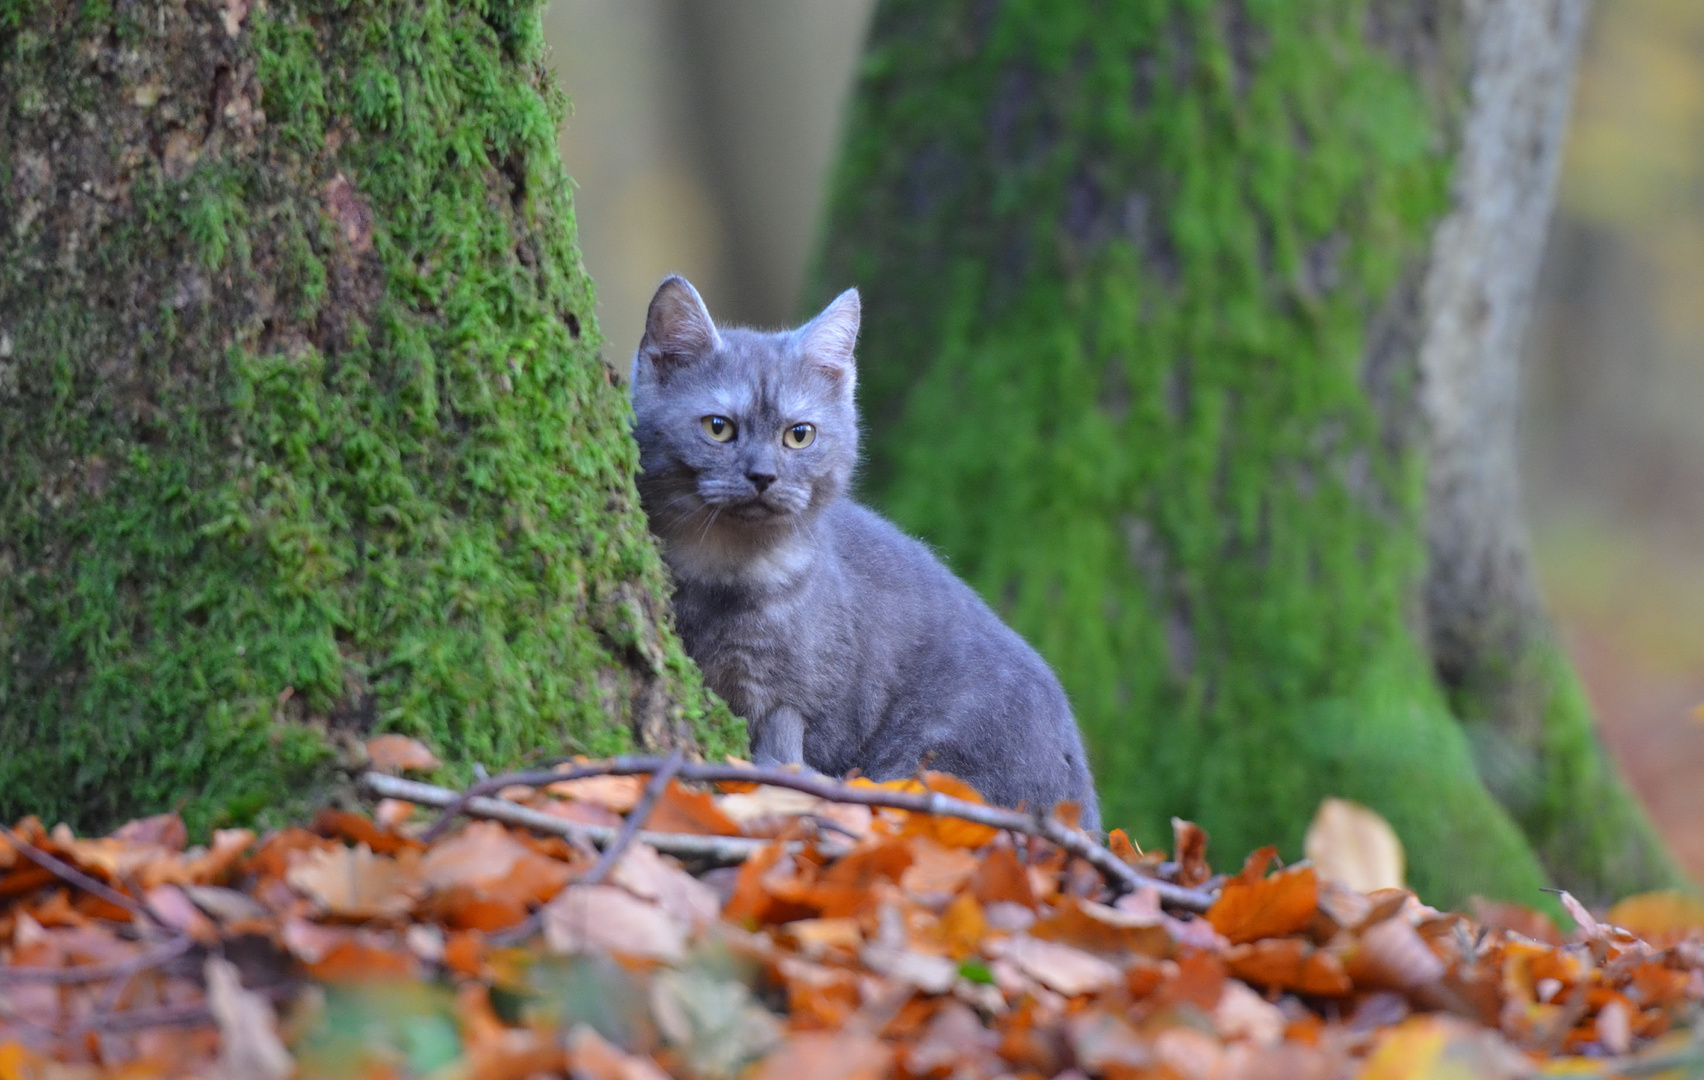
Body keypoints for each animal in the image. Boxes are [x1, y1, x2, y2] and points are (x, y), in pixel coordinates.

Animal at [633, 275, 1097, 824]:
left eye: (799, 435)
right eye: (717, 427)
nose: (763, 475)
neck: (725, 570)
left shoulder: (795, 697)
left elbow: (786, 747)